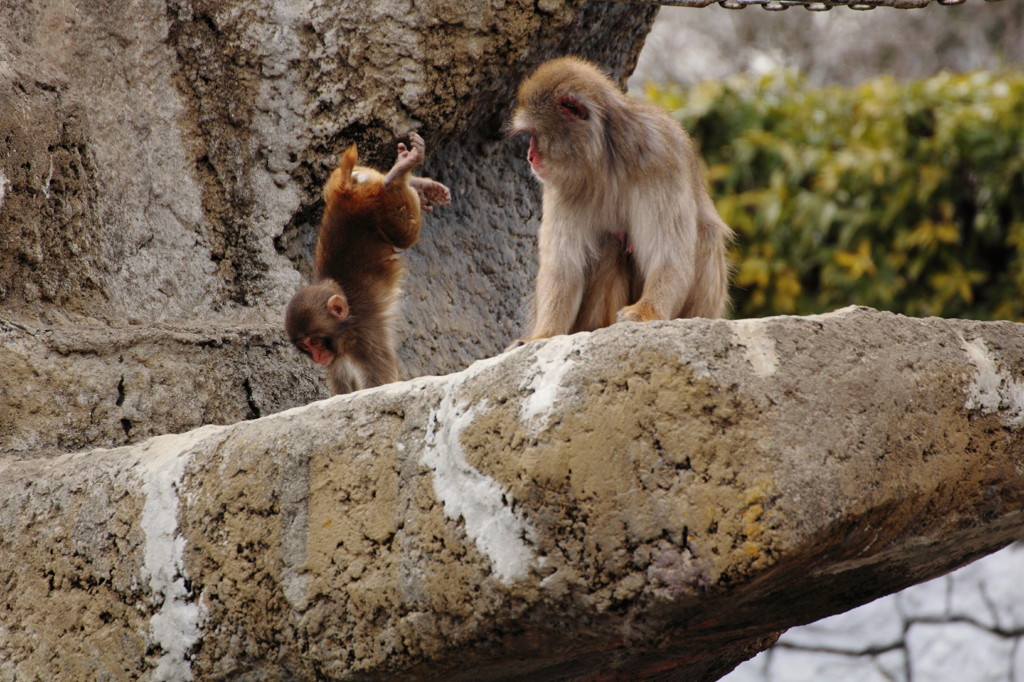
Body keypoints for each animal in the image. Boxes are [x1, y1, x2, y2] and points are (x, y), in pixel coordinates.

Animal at [286, 131, 450, 393]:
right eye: (305, 345)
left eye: (315, 340)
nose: (318, 357)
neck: (346, 318)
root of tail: (347, 192)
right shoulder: (339, 352)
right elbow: (342, 383)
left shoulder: (364, 336)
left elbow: (378, 381)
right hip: (346, 186)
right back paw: (414, 180)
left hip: (388, 209)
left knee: (405, 235)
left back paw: (397, 176)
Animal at [507, 57, 733, 346]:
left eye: (535, 133)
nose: (530, 157)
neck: (605, 158)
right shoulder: (561, 186)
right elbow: (563, 267)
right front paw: (543, 335)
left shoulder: (662, 153)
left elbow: (669, 255)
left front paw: (647, 311)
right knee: (609, 240)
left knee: (703, 235)